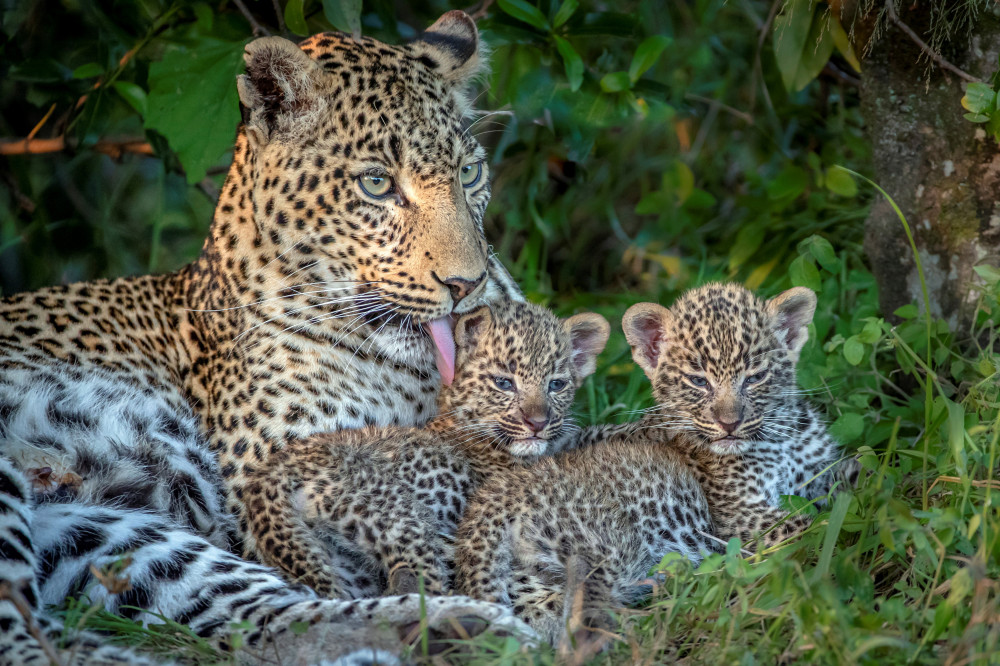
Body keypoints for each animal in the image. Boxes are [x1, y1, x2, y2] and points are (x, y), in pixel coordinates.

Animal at [0, 11, 528, 664]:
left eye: (470, 174)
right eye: (377, 184)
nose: (466, 283)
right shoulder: (278, 493)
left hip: (93, 526)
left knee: (265, 619)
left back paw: (467, 628)